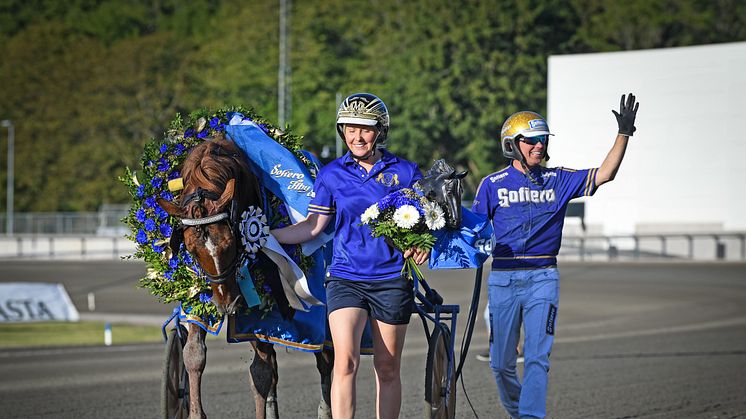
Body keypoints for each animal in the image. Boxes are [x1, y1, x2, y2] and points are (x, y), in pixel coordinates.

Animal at [157, 133, 332, 418]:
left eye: (231, 241)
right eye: (191, 250)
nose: (228, 304)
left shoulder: (262, 314)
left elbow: (260, 373)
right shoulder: (200, 294)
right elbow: (193, 354)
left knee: (325, 361)